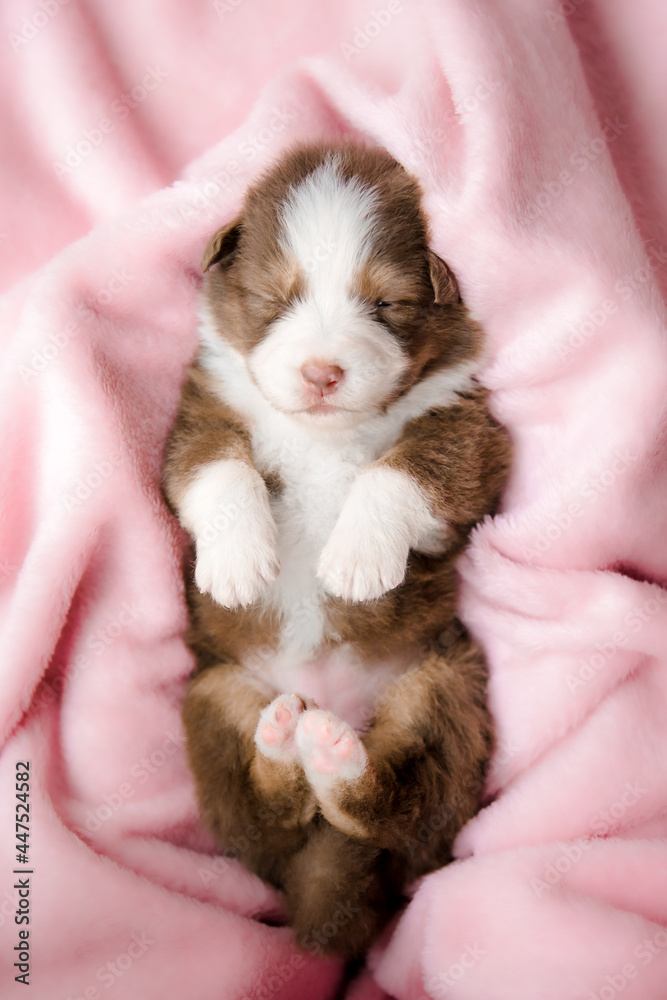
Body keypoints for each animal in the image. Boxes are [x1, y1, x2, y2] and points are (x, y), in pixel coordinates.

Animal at [163, 143, 512, 960]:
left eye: (386, 305)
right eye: (274, 297)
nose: (323, 372)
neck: (322, 434)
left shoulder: (471, 430)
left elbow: (402, 470)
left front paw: (357, 561)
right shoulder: (200, 414)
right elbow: (215, 467)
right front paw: (237, 563)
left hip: (445, 685)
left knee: (403, 811)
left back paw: (335, 759)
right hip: (213, 693)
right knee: (264, 822)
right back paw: (284, 746)